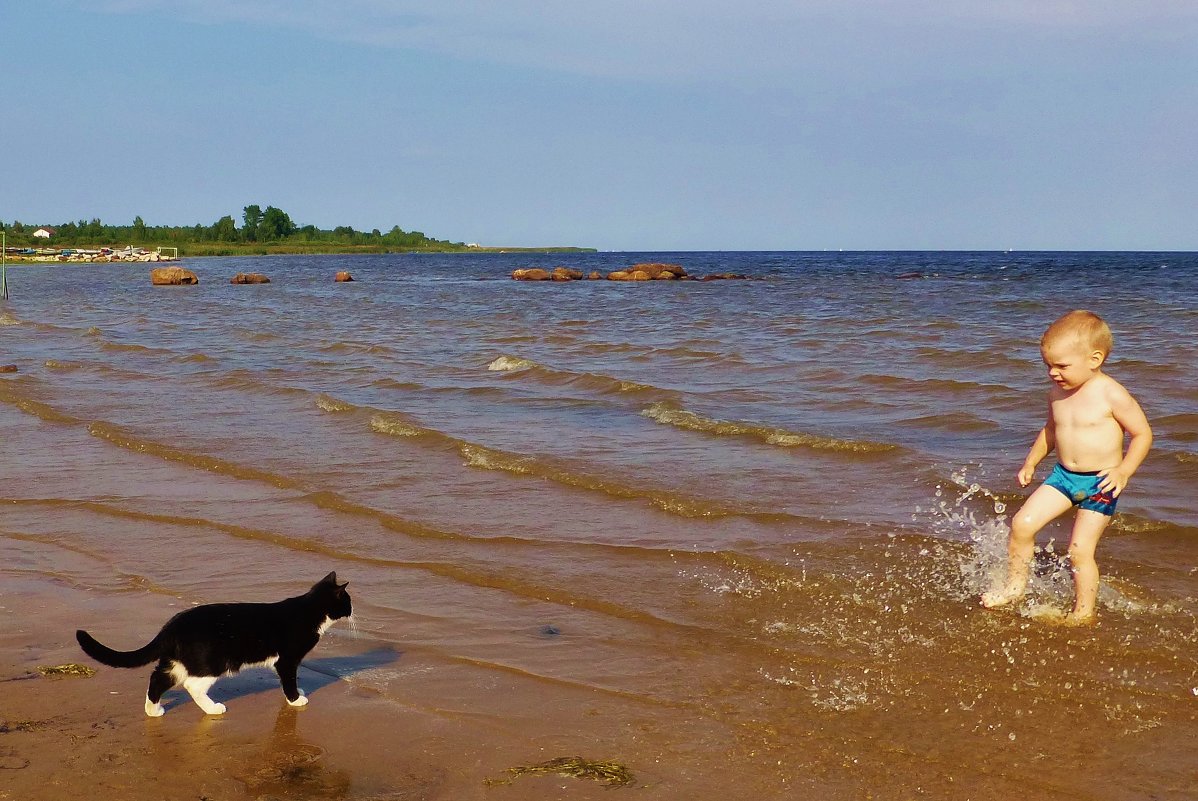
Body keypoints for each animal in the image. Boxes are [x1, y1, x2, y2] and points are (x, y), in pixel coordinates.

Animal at [76, 572, 349, 713]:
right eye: (347, 601)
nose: (352, 610)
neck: (309, 610)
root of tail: (172, 625)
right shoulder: (287, 660)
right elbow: (289, 680)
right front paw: (296, 700)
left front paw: (297, 694)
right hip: (211, 662)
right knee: (191, 686)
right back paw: (213, 708)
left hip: (179, 661)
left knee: (158, 678)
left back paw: (153, 710)